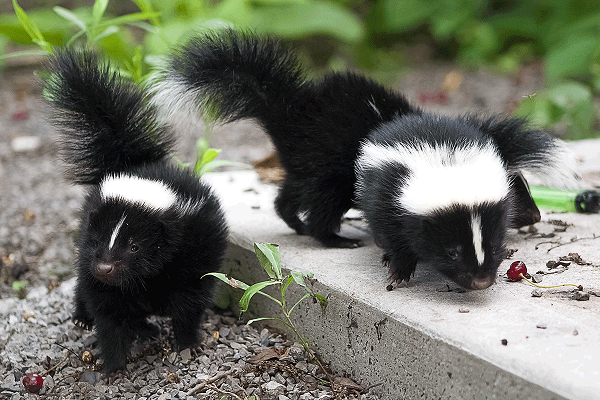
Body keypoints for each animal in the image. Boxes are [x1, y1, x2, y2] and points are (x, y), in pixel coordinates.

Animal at [45, 49, 230, 372]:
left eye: (135, 246)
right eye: (98, 240)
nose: (105, 267)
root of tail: (135, 161)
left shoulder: (191, 254)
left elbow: (189, 302)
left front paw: (188, 343)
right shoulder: (97, 264)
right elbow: (109, 310)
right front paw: (114, 365)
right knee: (85, 278)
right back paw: (87, 319)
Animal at [152, 28, 580, 290]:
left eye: (522, 187)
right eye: (452, 251)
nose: (535, 214)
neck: (445, 163)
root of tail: (293, 110)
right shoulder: (389, 192)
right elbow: (393, 232)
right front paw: (399, 267)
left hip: (307, 165)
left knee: (288, 194)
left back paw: (297, 224)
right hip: (329, 169)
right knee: (321, 203)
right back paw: (335, 238)